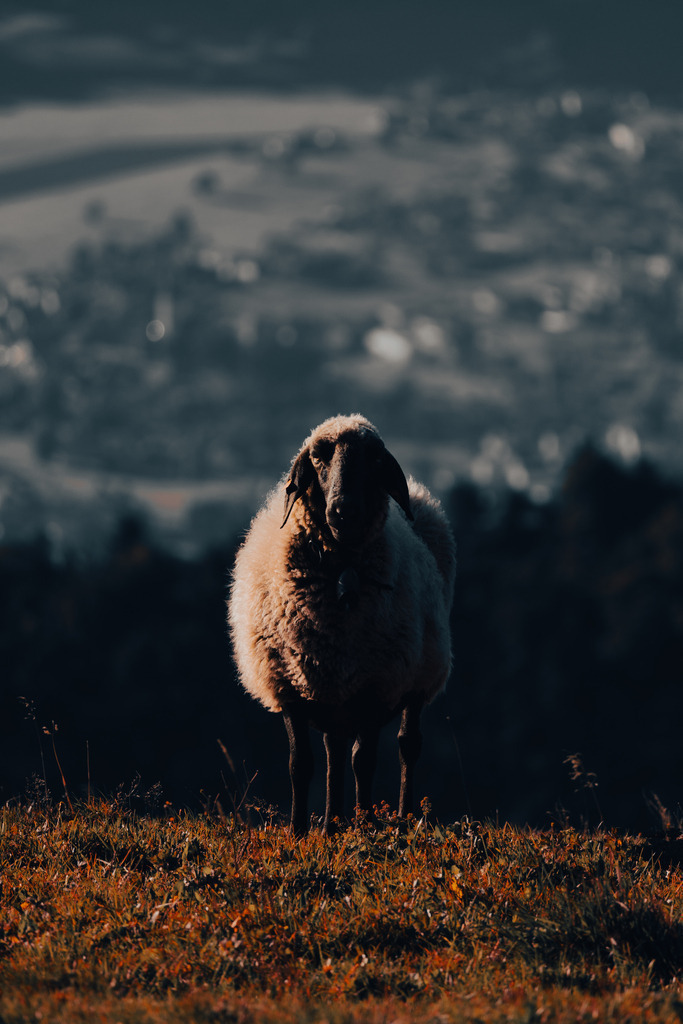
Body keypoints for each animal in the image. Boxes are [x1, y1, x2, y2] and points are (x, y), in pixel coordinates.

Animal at [228, 414, 456, 834]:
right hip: (332, 690)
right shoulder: (289, 685)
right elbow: (300, 764)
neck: (341, 574)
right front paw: (299, 831)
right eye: (318, 455)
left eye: (375, 458)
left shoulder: (376, 684)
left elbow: (363, 761)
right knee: (333, 749)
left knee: (406, 744)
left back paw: (401, 818)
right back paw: (331, 823)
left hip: (419, 675)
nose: (343, 511)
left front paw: (363, 826)